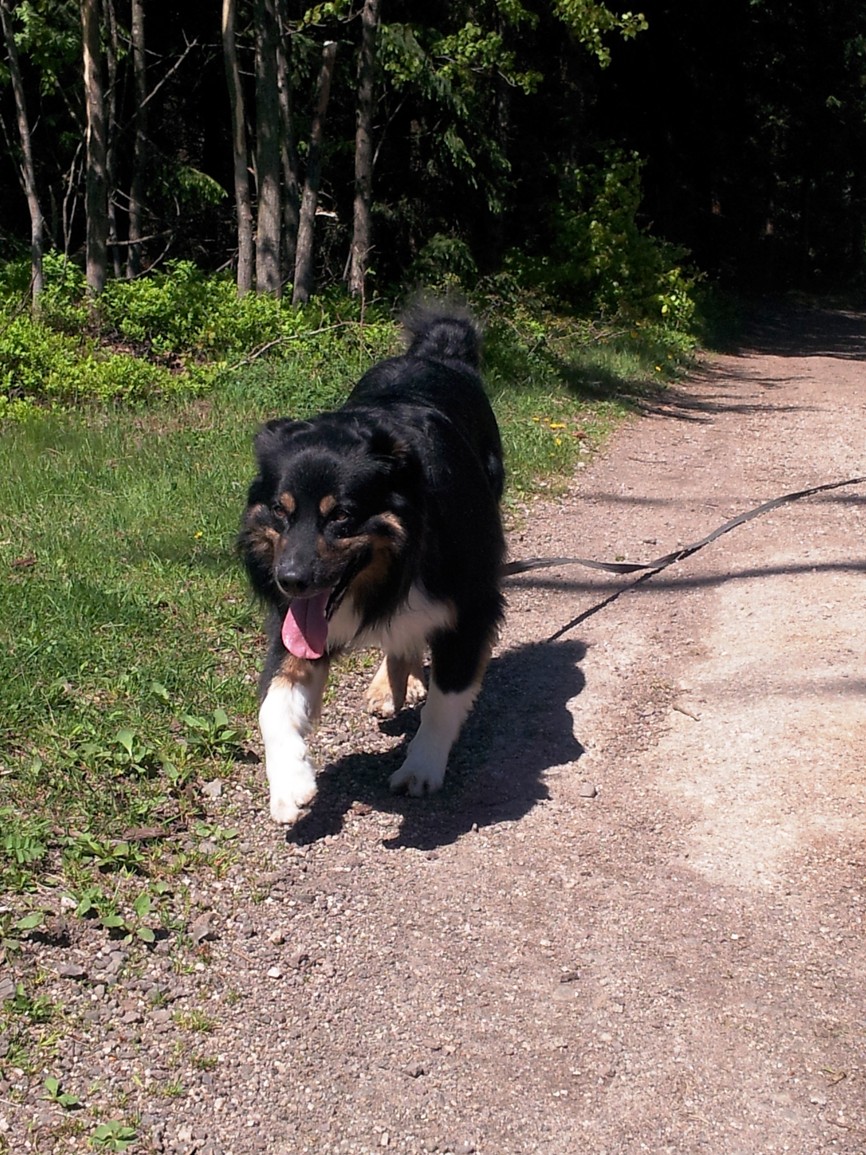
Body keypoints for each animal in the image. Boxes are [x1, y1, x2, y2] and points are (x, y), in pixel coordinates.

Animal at [239, 304, 508, 822]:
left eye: (341, 515)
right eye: (280, 510)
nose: (290, 581)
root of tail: (437, 350)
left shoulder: (472, 606)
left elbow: (447, 695)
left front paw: (422, 766)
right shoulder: (292, 626)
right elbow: (272, 703)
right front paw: (289, 784)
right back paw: (390, 684)